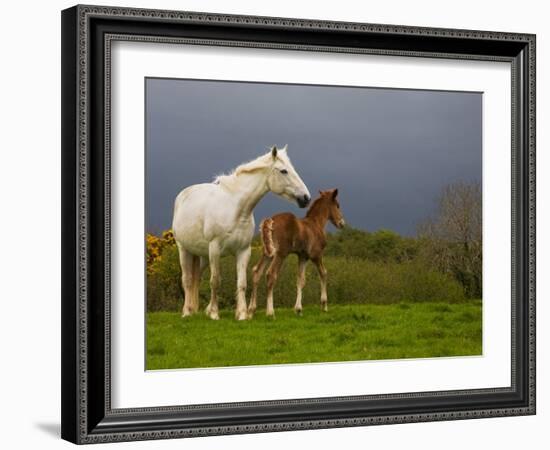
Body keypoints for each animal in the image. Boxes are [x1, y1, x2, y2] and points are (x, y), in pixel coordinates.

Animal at [174, 145, 310, 320]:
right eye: (284, 171)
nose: (306, 198)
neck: (235, 209)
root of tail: (183, 195)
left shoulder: (244, 250)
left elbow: (242, 283)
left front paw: (242, 314)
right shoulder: (214, 249)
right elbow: (215, 281)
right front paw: (214, 313)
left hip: (202, 255)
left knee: (196, 278)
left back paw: (194, 309)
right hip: (184, 249)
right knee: (187, 280)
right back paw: (186, 312)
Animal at [249, 188, 344, 318]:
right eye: (337, 205)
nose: (342, 223)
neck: (316, 224)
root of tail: (270, 220)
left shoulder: (303, 257)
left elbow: (300, 280)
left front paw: (298, 309)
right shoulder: (316, 255)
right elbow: (323, 273)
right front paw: (324, 305)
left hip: (267, 252)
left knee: (256, 272)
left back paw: (250, 310)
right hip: (280, 254)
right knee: (270, 274)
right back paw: (270, 312)